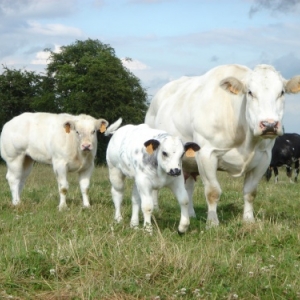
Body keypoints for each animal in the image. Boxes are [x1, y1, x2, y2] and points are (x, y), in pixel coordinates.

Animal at [145, 64, 300, 226]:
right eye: (250, 92)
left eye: (282, 92)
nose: (269, 124)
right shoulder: (206, 154)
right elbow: (213, 192)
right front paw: (212, 223)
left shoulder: (264, 158)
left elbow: (250, 192)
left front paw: (249, 220)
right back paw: (156, 209)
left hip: (189, 163)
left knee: (189, 187)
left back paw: (191, 214)